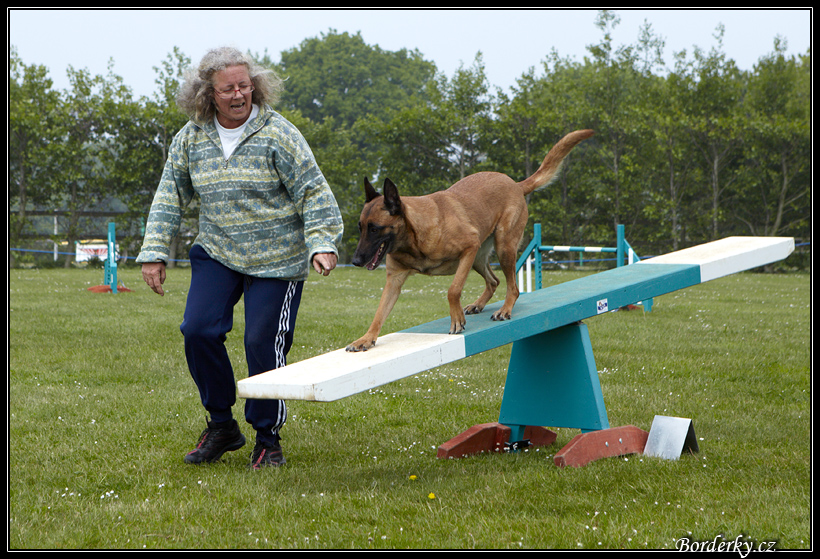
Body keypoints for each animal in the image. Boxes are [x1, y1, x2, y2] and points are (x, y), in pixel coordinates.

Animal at [346, 129, 596, 352]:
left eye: (375, 229)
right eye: (360, 227)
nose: (356, 261)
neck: (414, 236)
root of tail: (516, 184)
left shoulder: (468, 247)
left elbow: (453, 289)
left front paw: (456, 319)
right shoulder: (394, 281)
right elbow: (379, 313)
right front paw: (366, 339)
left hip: (502, 247)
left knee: (513, 287)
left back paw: (505, 310)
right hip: (479, 259)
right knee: (494, 281)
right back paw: (478, 304)